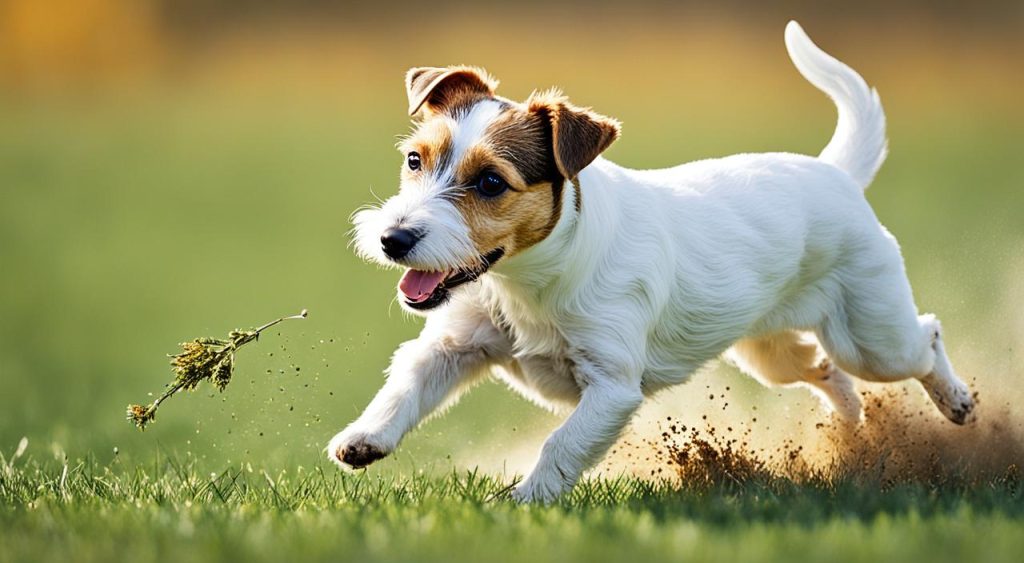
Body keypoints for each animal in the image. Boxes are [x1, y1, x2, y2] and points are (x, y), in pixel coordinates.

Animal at [329, 22, 974, 505]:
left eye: (490, 182)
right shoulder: (451, 345)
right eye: (415, 160)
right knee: (825, 372)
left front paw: (522, 502)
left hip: (871, 335)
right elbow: (406, 386)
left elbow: (560, 445)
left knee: (924, 335)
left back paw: (956, 402)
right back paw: (850, 433)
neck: (527, 280)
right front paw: (364, 439)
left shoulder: (612, 388)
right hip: (770, 352)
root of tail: (836, 173)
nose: (393, 239)